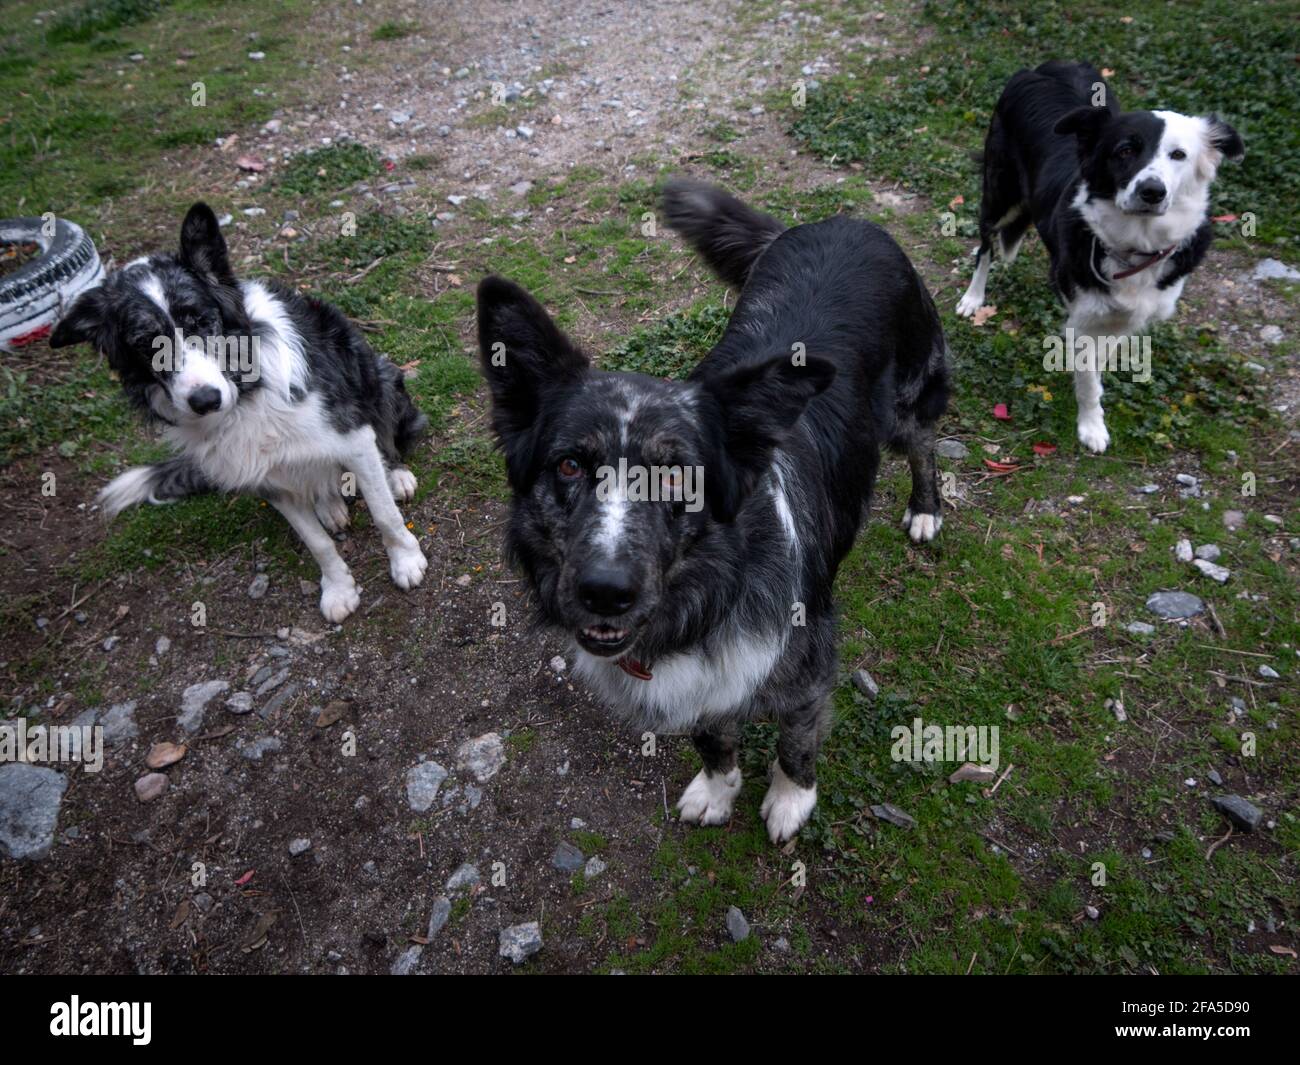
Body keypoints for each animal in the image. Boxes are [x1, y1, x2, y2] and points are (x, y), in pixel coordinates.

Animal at [50, 202, 428, 621]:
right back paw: (329, 505)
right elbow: (317, 544)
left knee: (385, 442)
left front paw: (406, 561)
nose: (205, 400)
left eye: (201, 321)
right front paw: (338, 589)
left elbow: (384, 514)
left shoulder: (354, 437)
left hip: (381, 377)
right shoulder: (266, 478)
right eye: (146, 343)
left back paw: (395, 476)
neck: (246, 395)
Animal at [473, 176, 951, 842]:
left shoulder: (808, 668)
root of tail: (845, 222)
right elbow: (711, 736)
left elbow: (797, 740)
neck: (704, 601)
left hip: (911, 398)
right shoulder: (697, 688)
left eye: (679, 476)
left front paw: (791, 800)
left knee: (925, 445)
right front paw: (718, 790)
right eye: (568, 466)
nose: (604, 593)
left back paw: (926, 509)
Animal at [961, 61, 1242, 455]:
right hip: (999, 191)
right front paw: (1092, 427)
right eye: (1124, 151)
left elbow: (1101, 361)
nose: (1152, 191)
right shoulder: (1083, 319)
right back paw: (973, 297)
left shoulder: (1125, 318)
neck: (1134, 243)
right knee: (986, 246)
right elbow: (1089, 379)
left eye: (1179, 155)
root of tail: (1045, 65)